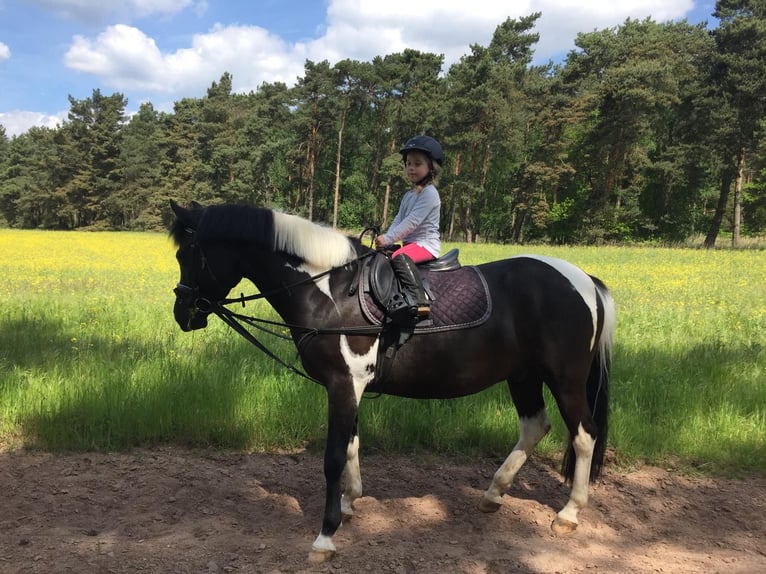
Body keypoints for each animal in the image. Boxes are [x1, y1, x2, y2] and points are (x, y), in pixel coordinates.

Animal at [169, 200, 616, 563]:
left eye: (188, 253)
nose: (182, 313)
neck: (331, 291)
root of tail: (584, 279)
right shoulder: (349, 386)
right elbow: (352, 444)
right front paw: (351, 502)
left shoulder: (343, 383)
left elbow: (333, 457)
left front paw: (325, 536)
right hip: (523, 375)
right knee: (535, 426)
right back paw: (493, 494)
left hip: (565, 378)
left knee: (584, 434)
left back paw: (569, 513)